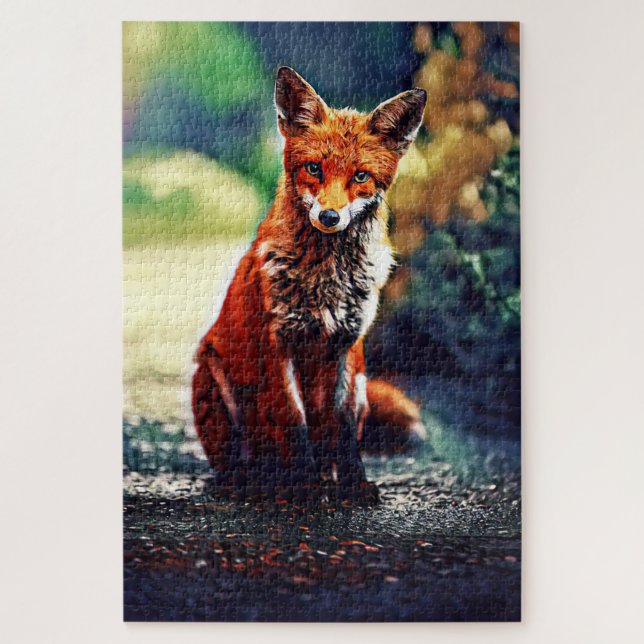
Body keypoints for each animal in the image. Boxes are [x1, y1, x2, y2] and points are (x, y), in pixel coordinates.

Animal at [192, 66, 427, 501]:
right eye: (314, 168)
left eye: (360, 176)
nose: (330, 216)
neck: (326, 279)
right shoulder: (278, 344)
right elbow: (293, 420)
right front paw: (305, 487)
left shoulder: (347, 345)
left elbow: (343, 426)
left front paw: (352, 483)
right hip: (211, 376)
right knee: (239, 461)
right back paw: (252, 481)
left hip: (365, 383)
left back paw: (324, 475)